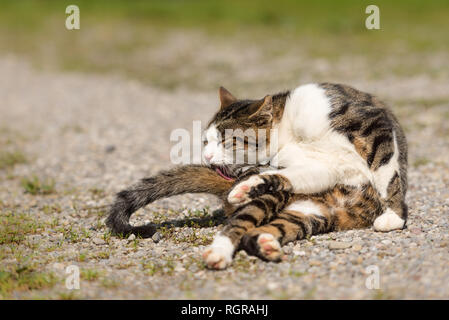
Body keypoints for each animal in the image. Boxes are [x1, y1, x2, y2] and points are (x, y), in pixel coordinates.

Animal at [105, 83, 406, 270]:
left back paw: (265, 242)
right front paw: (251, 184)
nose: (207, 157)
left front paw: (394, 215)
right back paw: (222, 248)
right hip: (279, 203)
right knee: (241, 225)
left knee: (263, 230)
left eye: (227, 141)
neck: (289, 134)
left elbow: (388, 172)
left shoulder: (371, 124)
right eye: (206, 142)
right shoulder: (317, 167)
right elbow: (288, 175)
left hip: (308, 213)